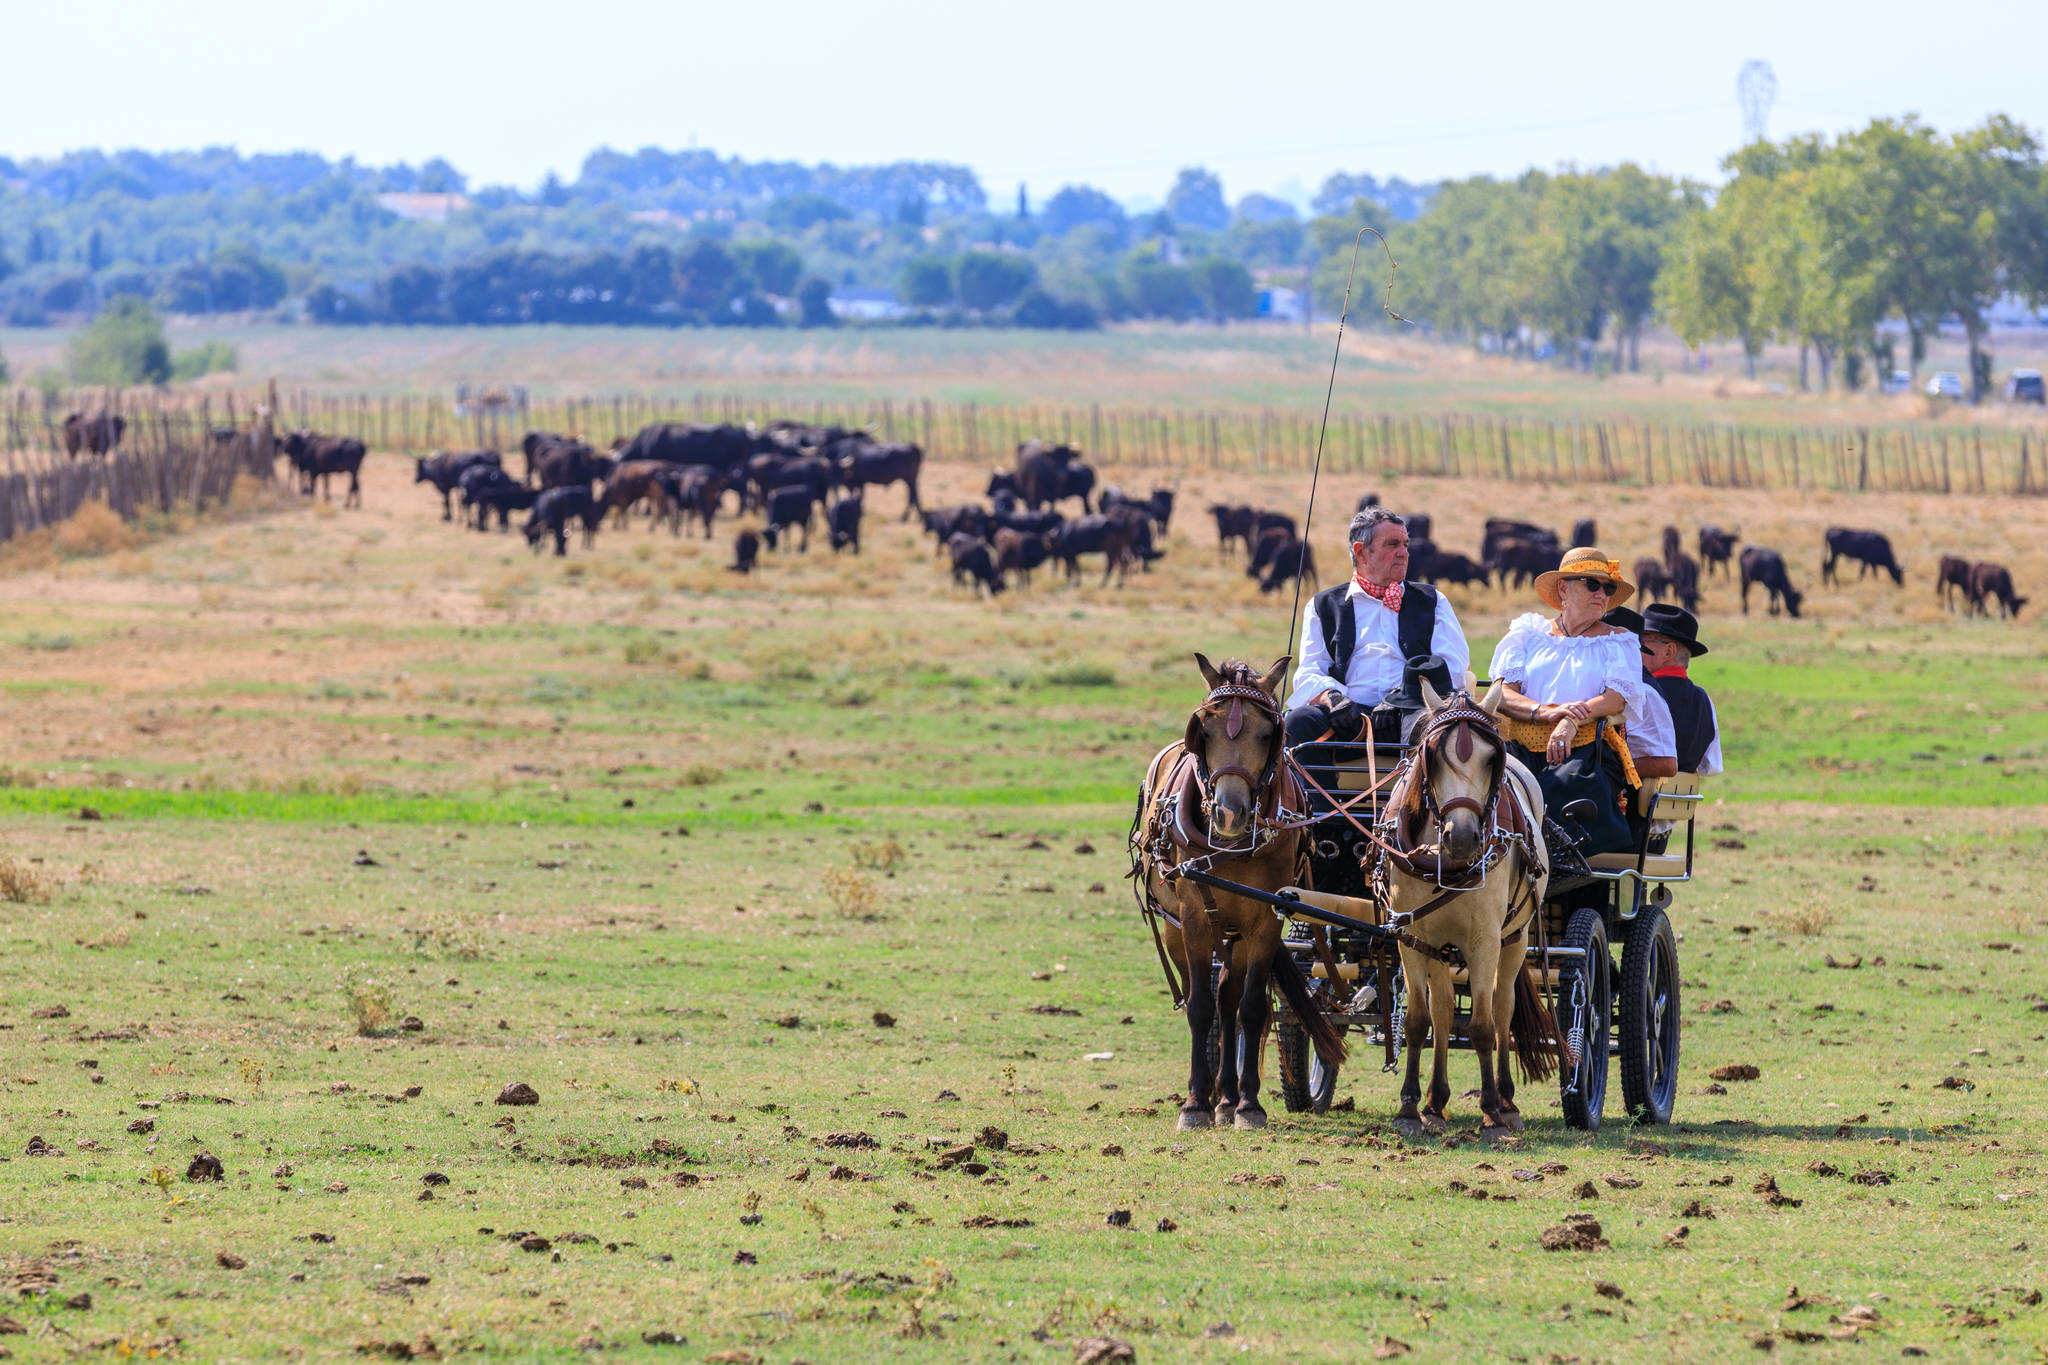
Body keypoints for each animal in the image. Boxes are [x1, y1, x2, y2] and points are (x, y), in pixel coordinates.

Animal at [1130, 654, 1351, 1129]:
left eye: (1268, 734)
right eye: (1205, 731)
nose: (1230, 814)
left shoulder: (1265, 920)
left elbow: (1250, 1008)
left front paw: (1248, 1104)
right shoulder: (1194, 920)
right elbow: (1199, 1007)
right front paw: (1195, 1103)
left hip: (1238, 934)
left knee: (1230, 998)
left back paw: (1230, 1098)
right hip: (1183, 928)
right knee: (1211, 999)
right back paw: (1217, 1096)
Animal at [1368, 679, 1556, 1146]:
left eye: (1493, 758)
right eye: (1431, 755)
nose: (1463, 837)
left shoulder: (1484, 940)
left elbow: (1484, 1026)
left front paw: (1491, 1113)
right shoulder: (1410, 937)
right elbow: (1419, 1020)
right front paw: (1409, 1109)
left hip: (1515, 938)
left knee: (1503, 1008)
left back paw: (1506, 1102)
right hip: (1439, 948)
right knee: (1443, 1011)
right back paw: (1435, 1103)